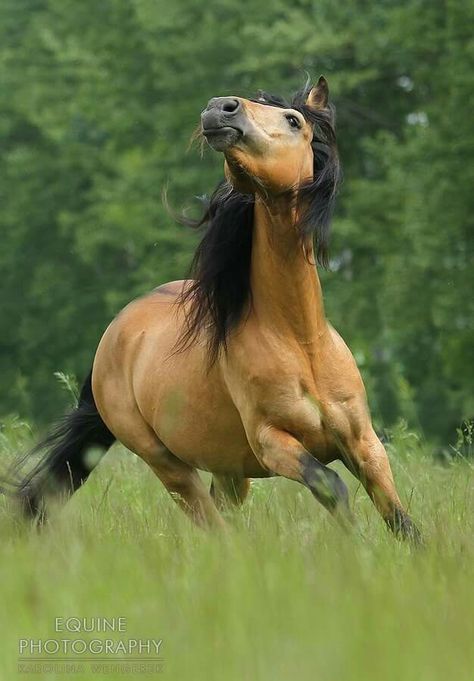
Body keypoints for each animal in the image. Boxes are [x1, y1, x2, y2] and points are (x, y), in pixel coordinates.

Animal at [7, 75, 420, 540]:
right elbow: (331, 486)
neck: (299, 340)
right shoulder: (272, 443)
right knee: (211, 524)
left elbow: (401, 520)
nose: (220, 108)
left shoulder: (364, 444)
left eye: (293, 121)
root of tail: (115, 332)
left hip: (229, 470)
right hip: (168, 465)